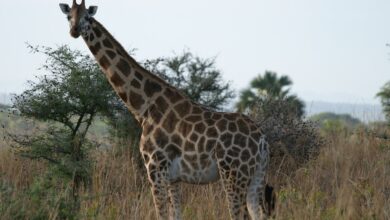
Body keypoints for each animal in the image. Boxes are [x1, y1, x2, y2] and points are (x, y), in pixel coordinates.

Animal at [59, 0, 272, 219]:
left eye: (87, 17)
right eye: (69, 16)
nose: (74, 31)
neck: (143, 107)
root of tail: (262, 140)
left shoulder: (155, 167)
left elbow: (161, 213)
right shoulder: (173, 177)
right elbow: (174, 214)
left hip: (234, 173)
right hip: (257, 175)